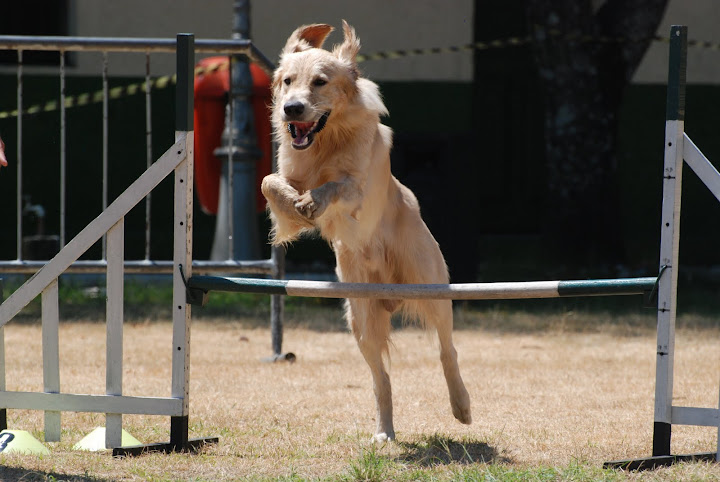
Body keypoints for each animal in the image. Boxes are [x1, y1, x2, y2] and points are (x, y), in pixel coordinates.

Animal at [260, 20, 472, 442]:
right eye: (288, 81)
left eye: (320, 82)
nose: (292, 108)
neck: (325, 139)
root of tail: (391, 295)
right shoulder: (286, 173)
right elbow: (269, 183)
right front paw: (295, 202)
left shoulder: (356, 189)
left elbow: (336, 185)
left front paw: (313, 201)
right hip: (360, 318)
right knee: (381, 378)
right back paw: (384, 431)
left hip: (432, 288)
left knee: (447, 350)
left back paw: (461, 406)